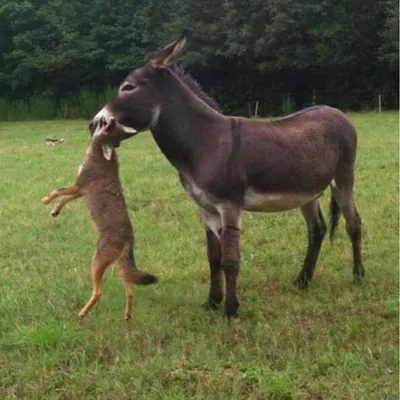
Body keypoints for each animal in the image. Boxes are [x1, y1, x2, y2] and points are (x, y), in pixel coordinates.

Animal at [41, 115, 157, 318]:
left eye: (111, 127)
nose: (110, 118)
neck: (98, 153)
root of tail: (129, 237)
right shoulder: (81, 191)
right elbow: (63, 199)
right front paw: (55, 211)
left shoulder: (79, 187)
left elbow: (57, 191)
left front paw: (46, 201)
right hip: (120, 266)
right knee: (130, 291)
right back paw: (127, 316)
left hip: (96, 262)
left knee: (98, 292)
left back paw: (82, 313)